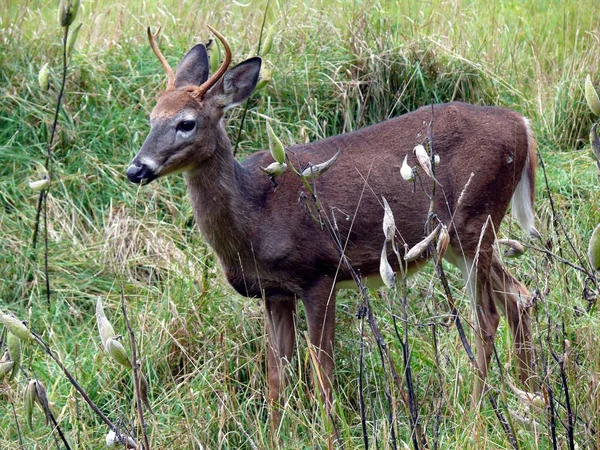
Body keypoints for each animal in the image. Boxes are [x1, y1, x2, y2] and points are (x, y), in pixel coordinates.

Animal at [126, 27, 540, 422]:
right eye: (151, 117)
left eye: (186, 123)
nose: (136, 169)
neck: (256, 215)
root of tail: (521, 125)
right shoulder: (274, 292)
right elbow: (276, 377)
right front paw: (278, 433)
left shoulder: (319, 275)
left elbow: (320, 373)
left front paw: (331, 430)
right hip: (457, 238)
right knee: (519, 296)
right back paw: (530, 393)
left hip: (474, 219)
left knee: (486, 317)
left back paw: (477, 412)